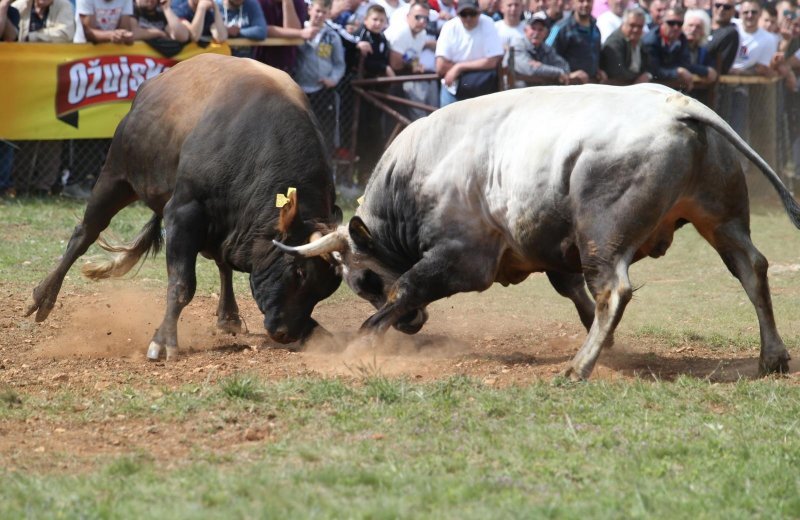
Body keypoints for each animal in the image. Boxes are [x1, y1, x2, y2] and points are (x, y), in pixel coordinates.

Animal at [276, 84, 800, 378]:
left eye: (363, 279)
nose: (411, 326)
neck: (422, 170)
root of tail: (679, 106)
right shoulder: (549, 247)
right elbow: (571, 291)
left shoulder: (463, 257)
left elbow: (407, 285)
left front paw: (363, 339)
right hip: (720, 218)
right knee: (752, 268)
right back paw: (772, 357)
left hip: (603, 234)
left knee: (615, 289)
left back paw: (578, 367)